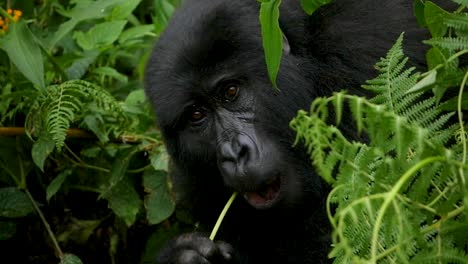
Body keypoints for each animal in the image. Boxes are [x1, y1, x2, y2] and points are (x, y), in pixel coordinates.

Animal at [145, 0, 432, 262]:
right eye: (197, 115)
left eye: (231, 92)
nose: (235, 154)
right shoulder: (193, 183)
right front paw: (181, 256)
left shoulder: (362, 48)